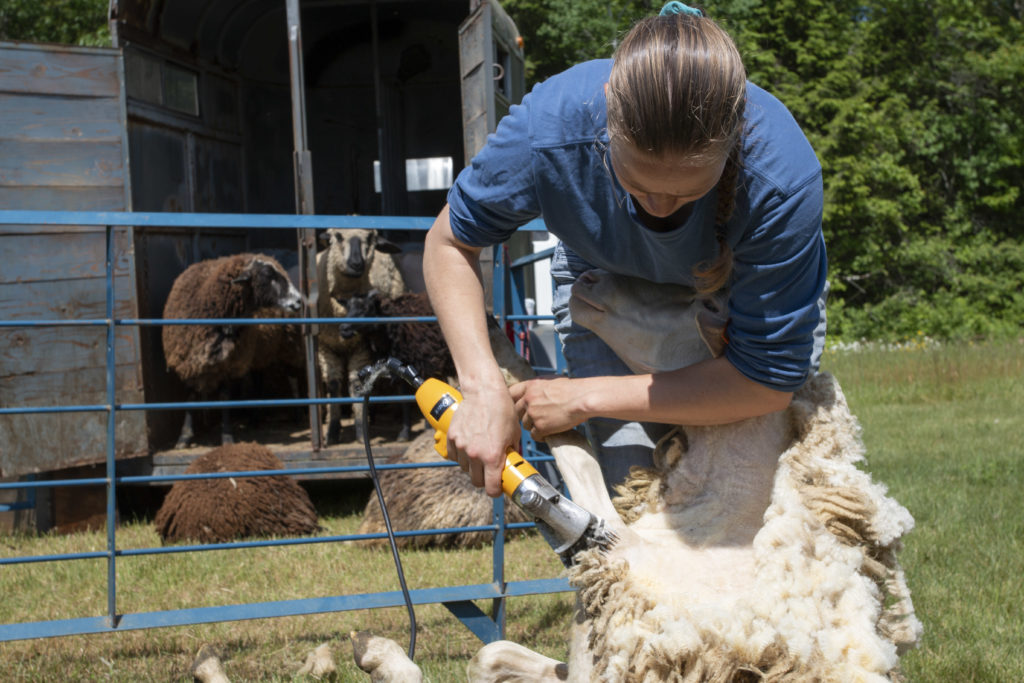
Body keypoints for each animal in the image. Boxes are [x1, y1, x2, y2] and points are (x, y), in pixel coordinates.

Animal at [313, 227, 405, 446]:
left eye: (370, 238)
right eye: (337, 236)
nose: (356, 263)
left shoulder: (361, 347)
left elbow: (355, 386)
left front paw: (361, 433)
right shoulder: (325, 347)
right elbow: (333, 385)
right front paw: (332, 432)